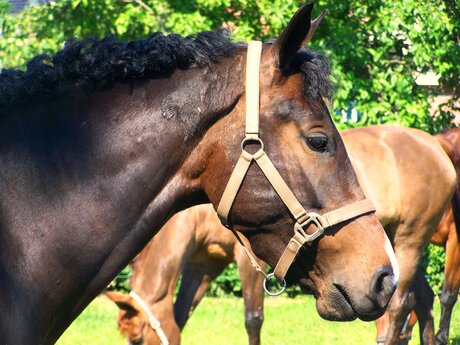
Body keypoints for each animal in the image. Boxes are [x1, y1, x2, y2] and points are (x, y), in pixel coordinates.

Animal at [104, 204, 262, 344]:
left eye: (138, 340)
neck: (201, 214)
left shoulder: (249, 257)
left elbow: (253, 319)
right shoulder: (201, 265)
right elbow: (180, 315)